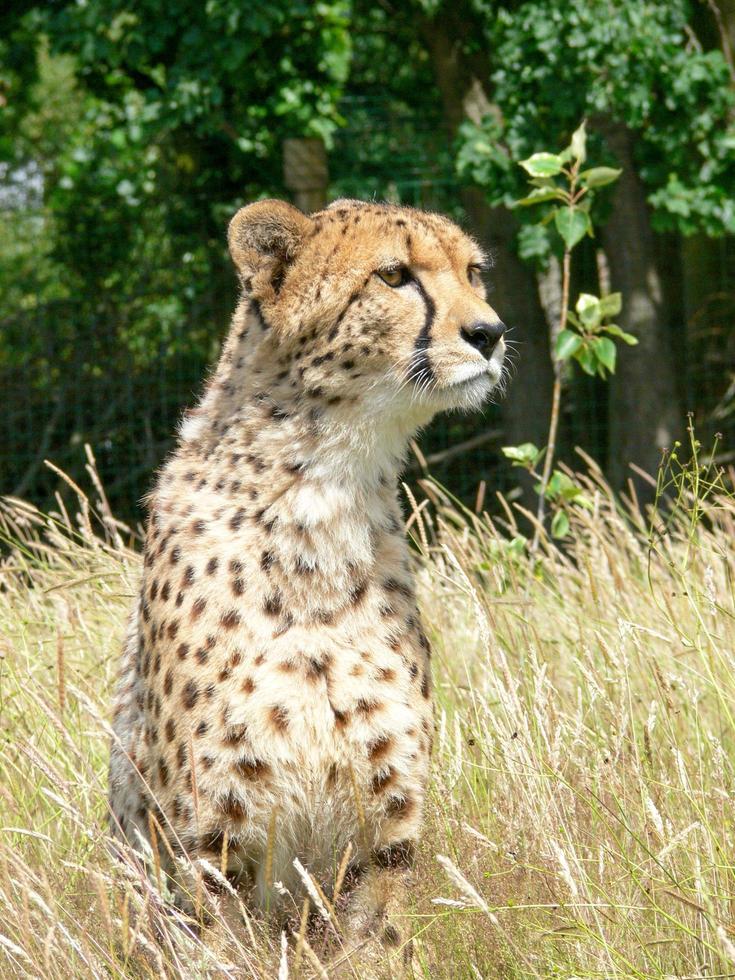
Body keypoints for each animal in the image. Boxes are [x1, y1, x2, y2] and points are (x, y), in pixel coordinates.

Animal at [108, 197, 506, 956]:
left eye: (473, 272)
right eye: (393, 275)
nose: (490, 332)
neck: (326, 490)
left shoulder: (384, 838)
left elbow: (376, 943)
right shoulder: (211, 847)